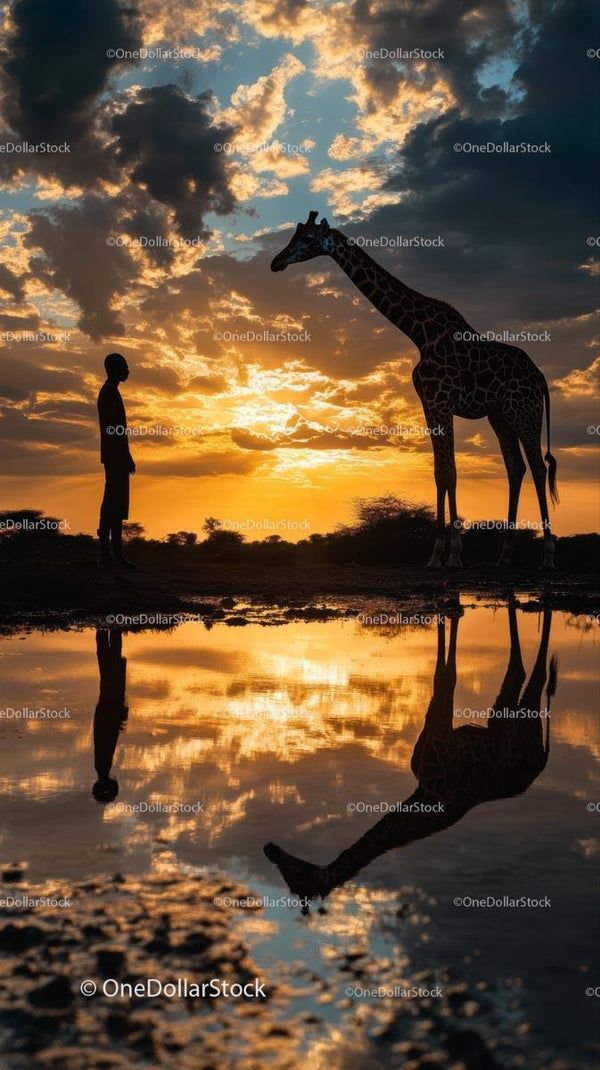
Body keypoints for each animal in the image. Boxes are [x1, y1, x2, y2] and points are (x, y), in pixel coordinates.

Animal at [264, 608, 557, 906]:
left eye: (298, 881)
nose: (270, 849)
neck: (425, 797)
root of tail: (540, 762)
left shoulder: (441, 731)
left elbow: (446, 675)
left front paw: (455, 612)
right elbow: (441, 667)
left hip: (522, 723)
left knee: (536, 675)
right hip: (501, 718)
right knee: (517, 672)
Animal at [271, 211, 559, 569]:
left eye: (308, 239)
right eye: (294, 235)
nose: (276, 262)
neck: (419, 333)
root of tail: (540, 377)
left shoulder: (442, 400)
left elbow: (451, 471)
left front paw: (452, 555)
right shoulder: (429, 404)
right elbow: (439, 472)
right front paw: (436, 554)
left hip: (524, 410)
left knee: (538, 467)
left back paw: (547, 557)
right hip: (500, 415)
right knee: (516, 467)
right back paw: (503, 557)